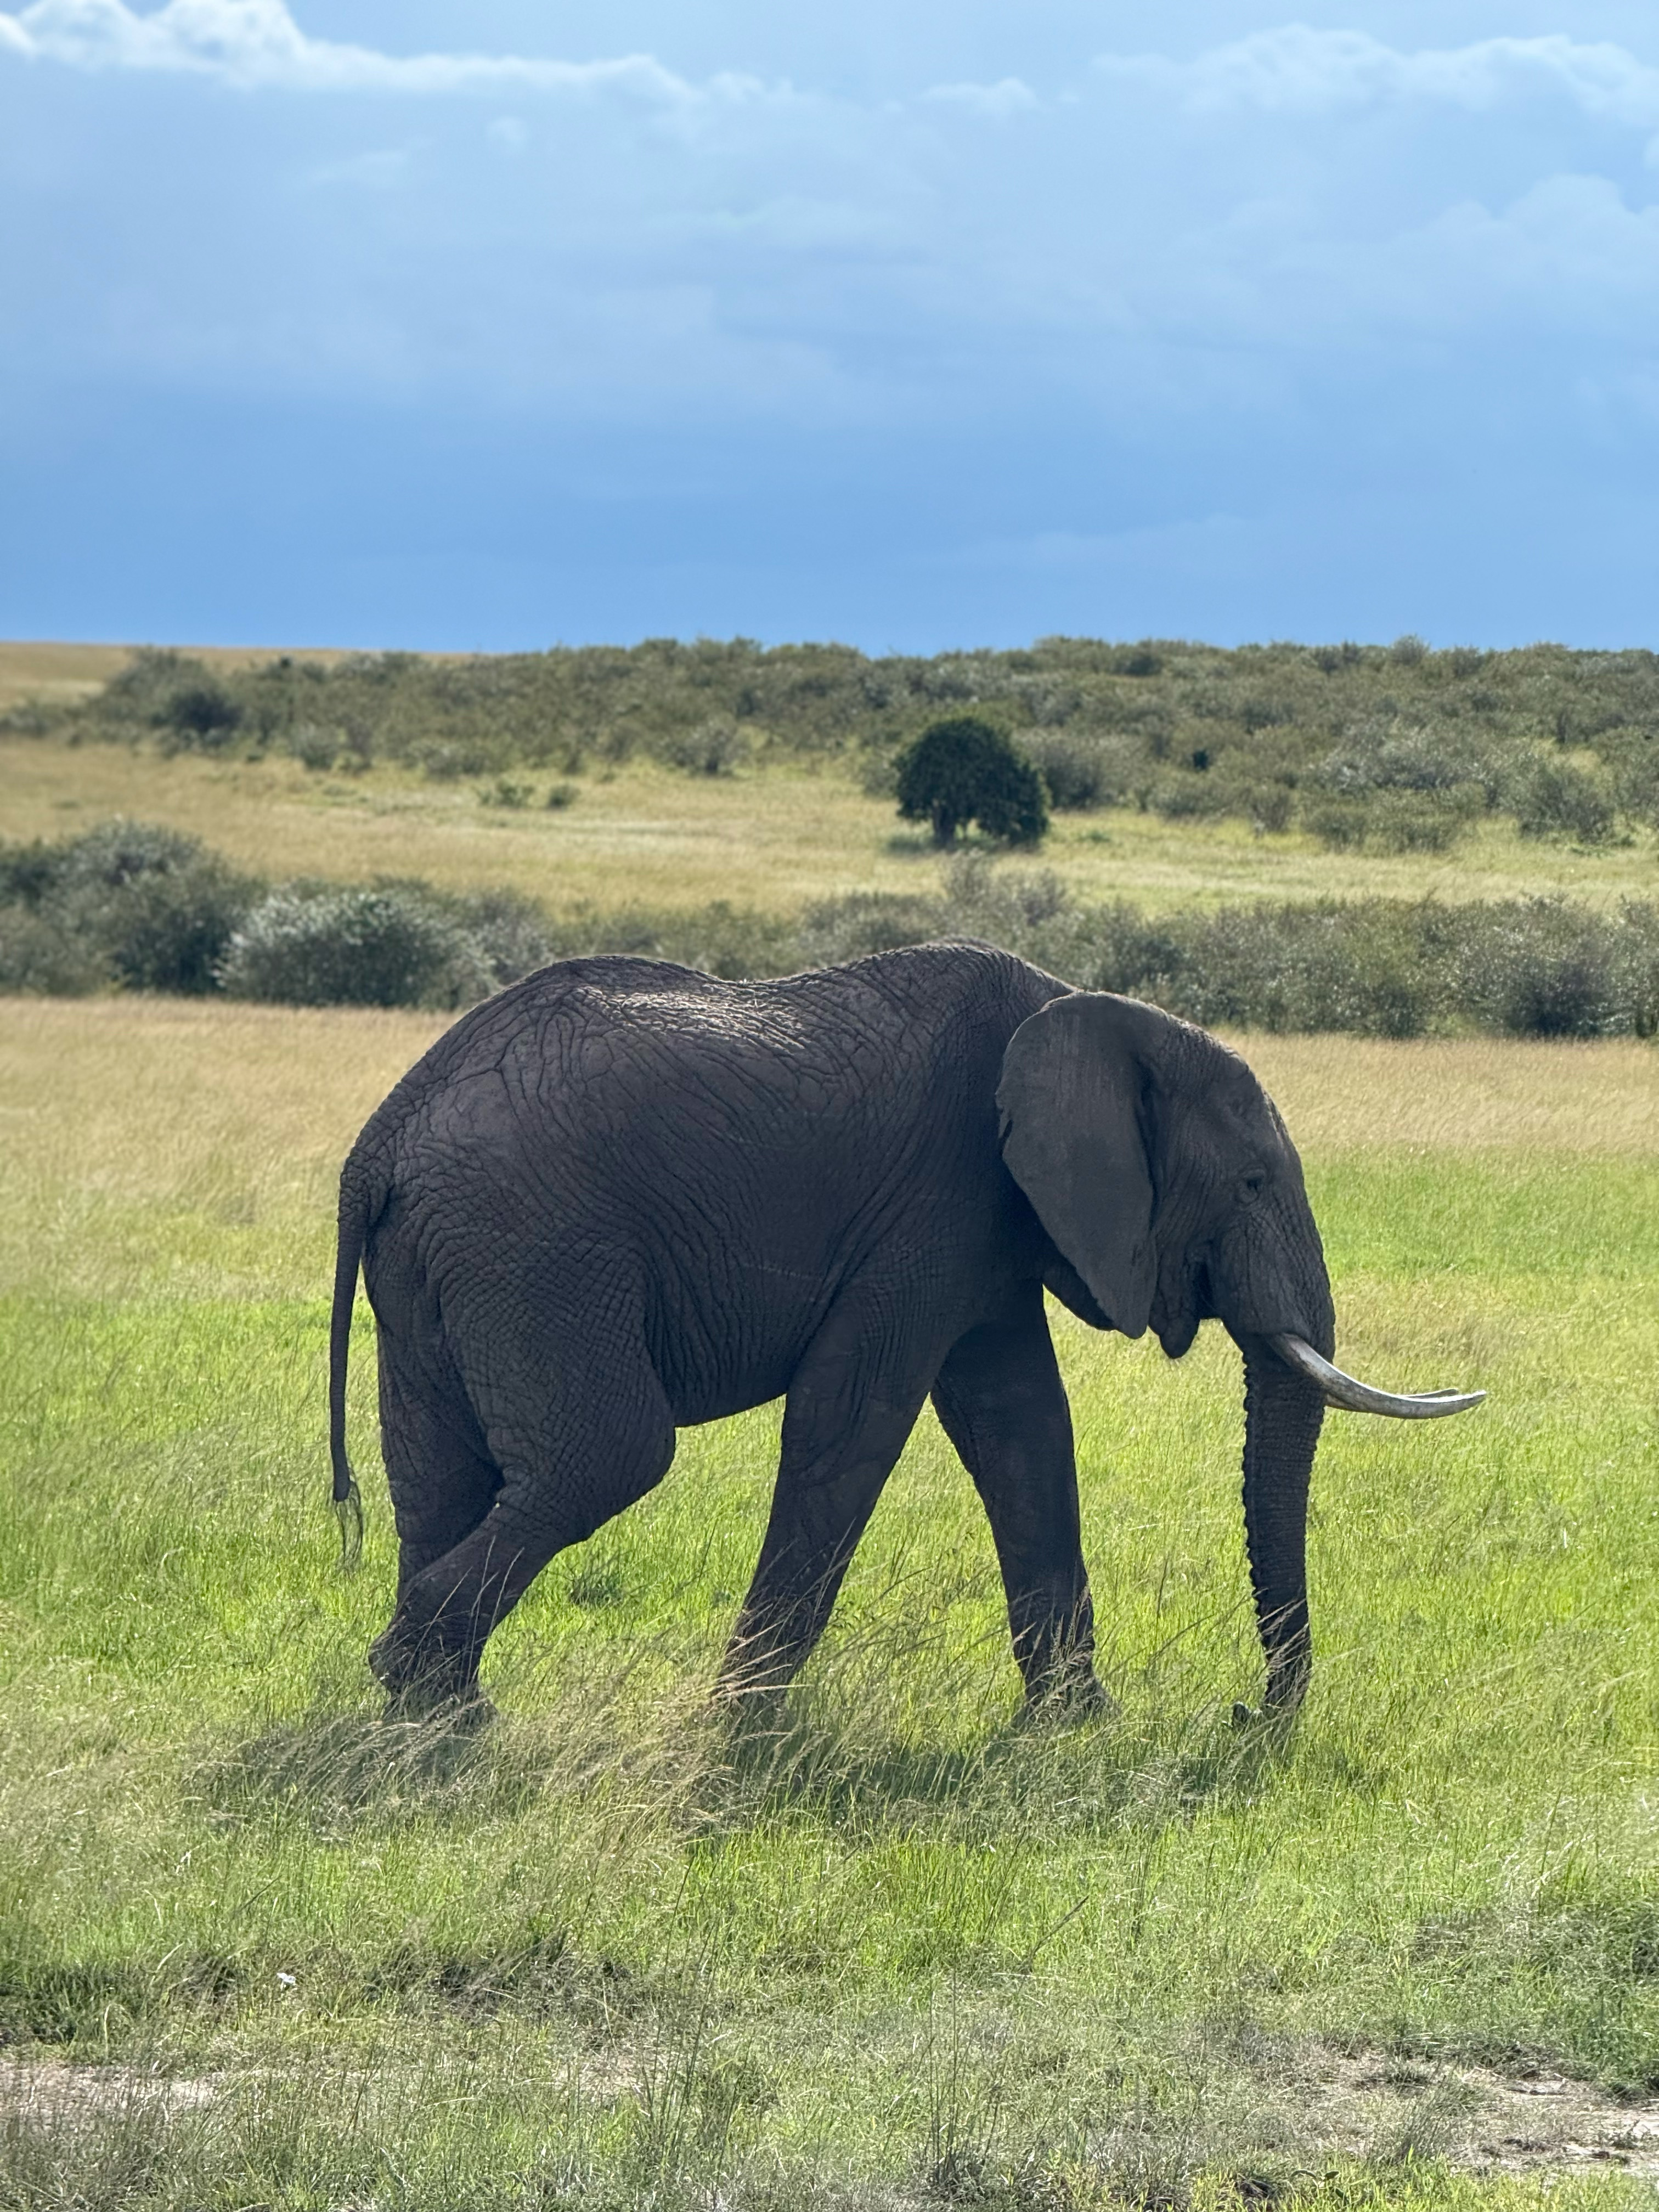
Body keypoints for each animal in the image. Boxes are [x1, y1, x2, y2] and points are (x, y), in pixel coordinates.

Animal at [327, 943, 1482, 1721]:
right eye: (1248, 1182)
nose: (1247, 1714)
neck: (1084, 1010)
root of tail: (378, 1144)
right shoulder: (936, 1198)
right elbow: (852, 1417)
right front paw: (737, 1729)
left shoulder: (991, 1223)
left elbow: (1021, 1424)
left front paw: (1074, 1729)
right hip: (535, 1245)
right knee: (608, 1454)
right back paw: (419, 1685)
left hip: (447, 1260)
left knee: (440, 1473)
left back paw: (439, 1724)